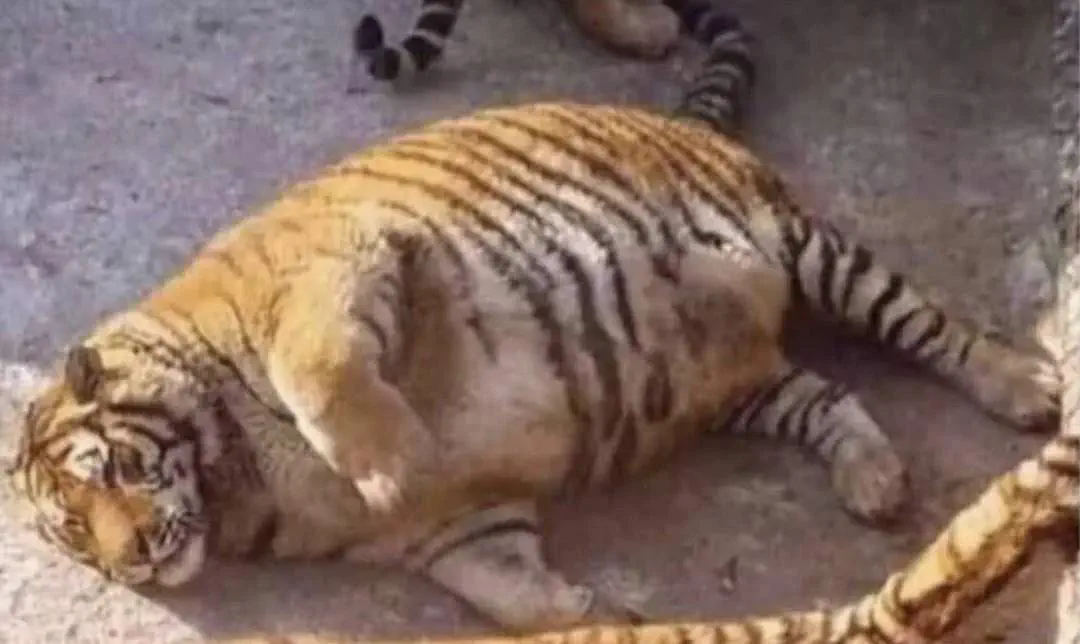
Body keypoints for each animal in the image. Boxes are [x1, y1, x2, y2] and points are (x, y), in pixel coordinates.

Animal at [5, 0, 1062, 637]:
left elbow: (326, 376)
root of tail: (683, 119)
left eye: (114, 472)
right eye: (77, 529)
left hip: (806, 248)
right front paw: (585, 605)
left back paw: (1029, 387)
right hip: (742, 386)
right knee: (828, 397)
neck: (236, 484)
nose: (136, 559)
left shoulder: (338, 272)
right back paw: (876, 482)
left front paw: (392, 461)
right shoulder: (454, 531)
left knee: (928, 327)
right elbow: (509, 594)